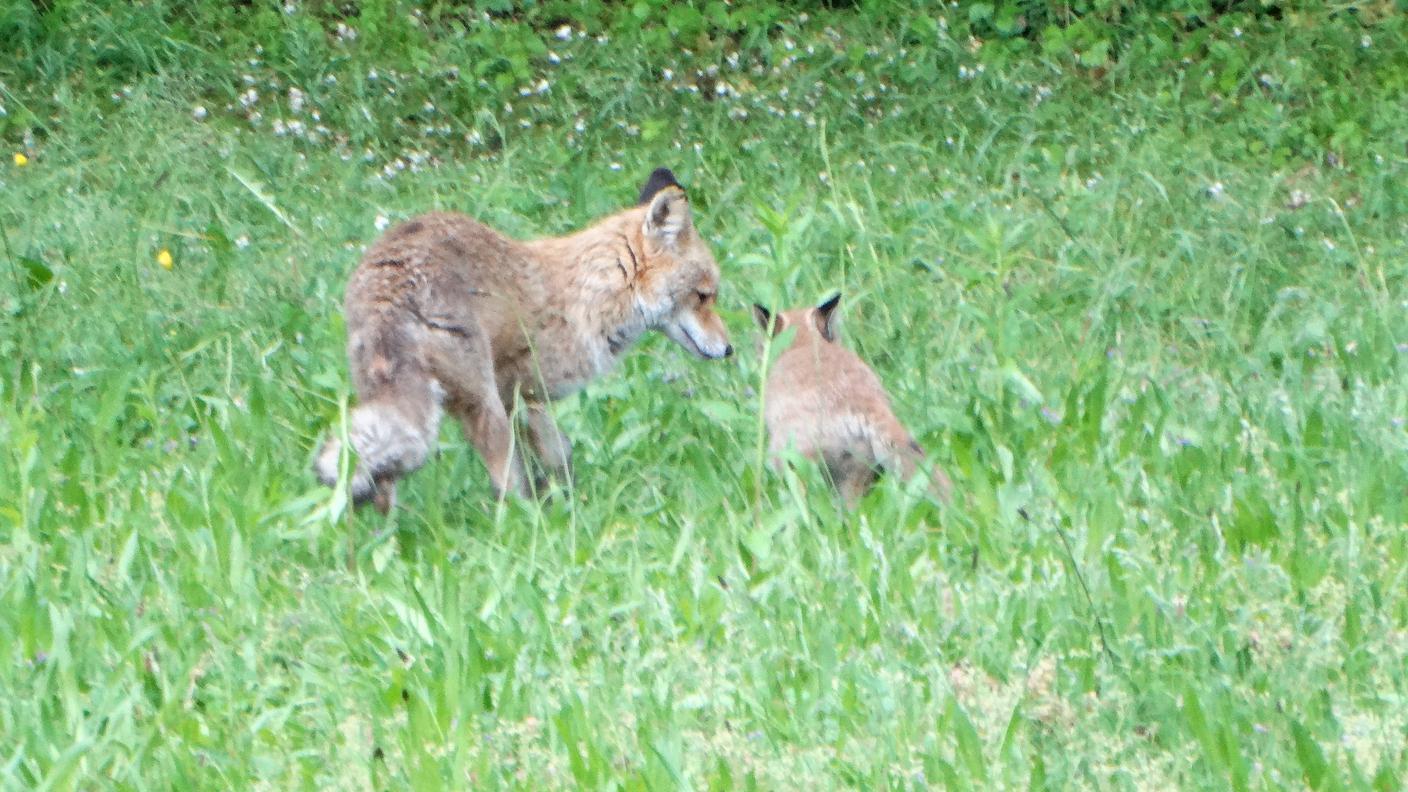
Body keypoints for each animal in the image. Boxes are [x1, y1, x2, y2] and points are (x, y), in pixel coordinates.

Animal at [315, 167, 732, 512]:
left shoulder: (518, 400)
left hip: (388, 396)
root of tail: (388, 286)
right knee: (504, 485)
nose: (729, 349)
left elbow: (558, 454)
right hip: (481, 406)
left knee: (380, 480)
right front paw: (565, 503)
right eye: (704, 295)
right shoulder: (524, 393)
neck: (588, 296)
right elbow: (556, 454)